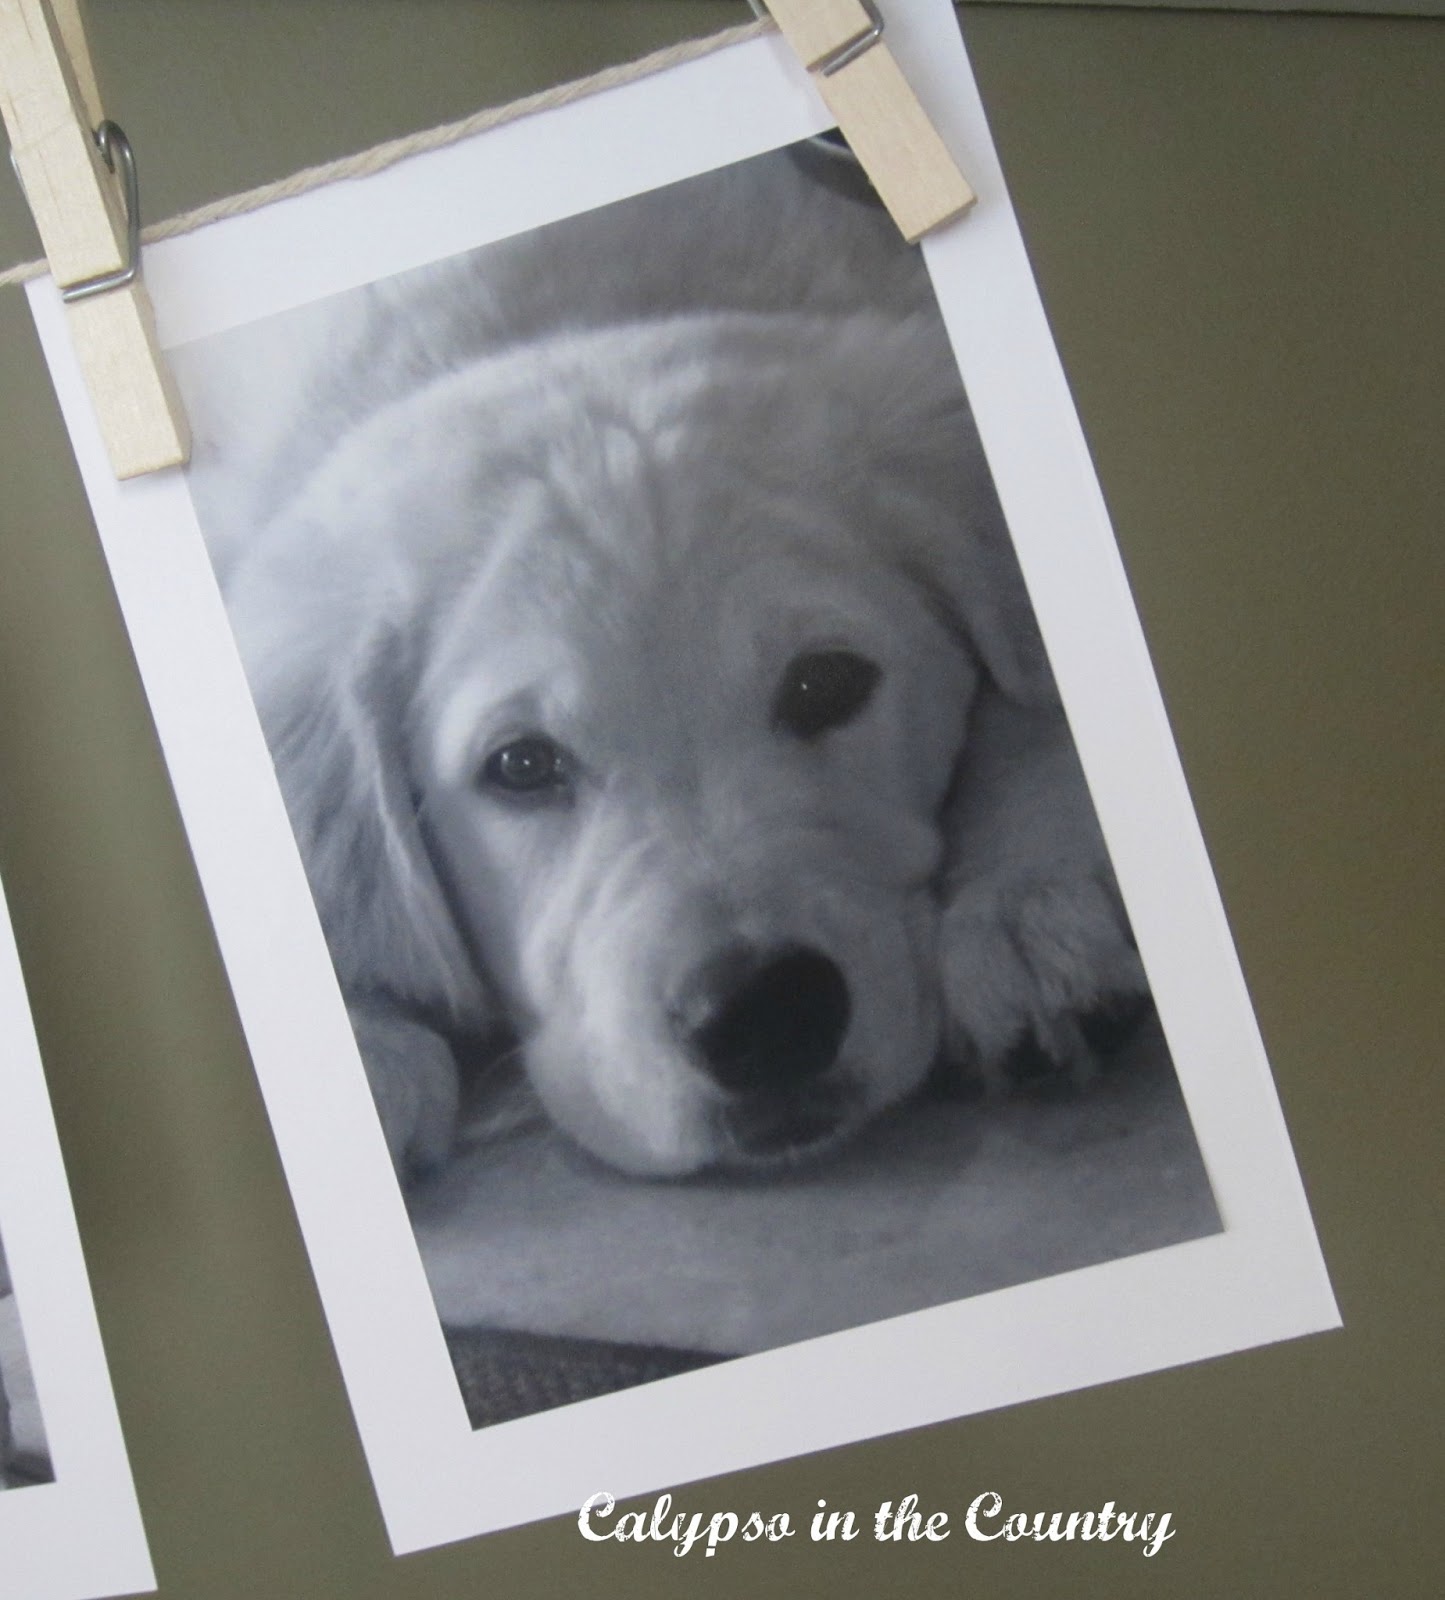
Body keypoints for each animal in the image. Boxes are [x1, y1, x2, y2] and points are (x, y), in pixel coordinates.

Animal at [177, 144, 1147, 1180]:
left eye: (827, 684)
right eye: (521, 765)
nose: (766, 1015)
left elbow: (1033, 703)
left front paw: (1026, 903)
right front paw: (364, 1042)